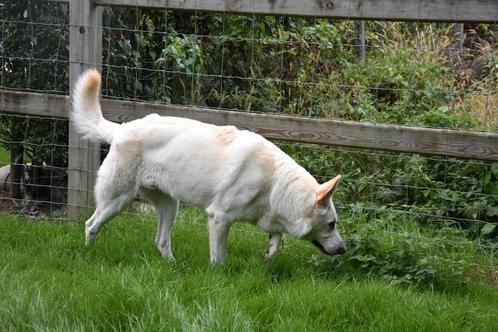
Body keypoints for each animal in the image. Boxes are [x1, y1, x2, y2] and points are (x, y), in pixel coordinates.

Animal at [72, 68, 346, 264]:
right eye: (331, 224)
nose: (343, 249)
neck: (274, 181)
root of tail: (122, 129)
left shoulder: (267, 215)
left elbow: (276, 238)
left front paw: (269, 254)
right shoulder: (220, 219)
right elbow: (219, 258)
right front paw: (220, 276)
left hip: (170, 207)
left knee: (161, 241)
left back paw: (173, 266)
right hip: (118, 200)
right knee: (90, 225)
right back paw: (88, 254)